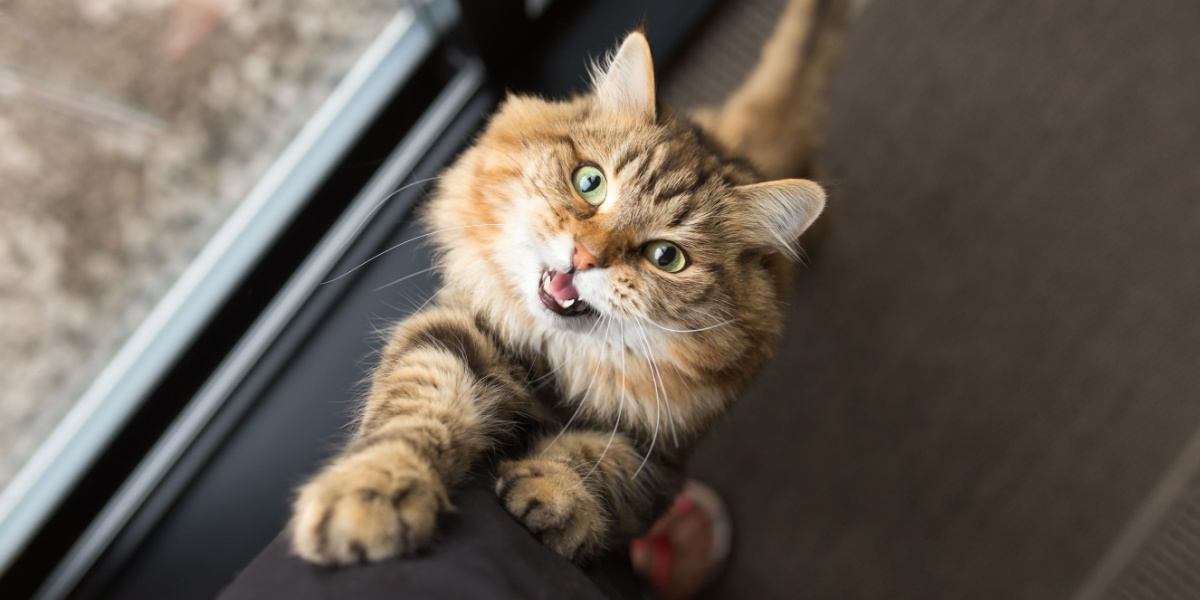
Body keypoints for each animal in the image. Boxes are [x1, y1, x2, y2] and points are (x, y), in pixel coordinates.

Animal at [291, 0, 849, 561]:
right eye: (590, 182)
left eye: (666, 257)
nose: (585, 257)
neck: (555, 365)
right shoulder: (458, 332)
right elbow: (415, 410)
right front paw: (372, 495)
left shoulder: (661, 453)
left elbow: (598, 463)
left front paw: (551, 492)